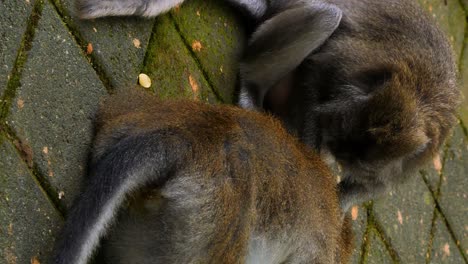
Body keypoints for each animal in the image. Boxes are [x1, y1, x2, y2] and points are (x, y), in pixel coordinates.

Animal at [76, 0, 460, 210]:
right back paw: (253, 89)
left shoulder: (407, 160)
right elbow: (315, 77)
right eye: (340, 141)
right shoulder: (347, 70)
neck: (418, 99)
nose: (336, 150)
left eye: (351, 154)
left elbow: (370, 186)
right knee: (326, 15)